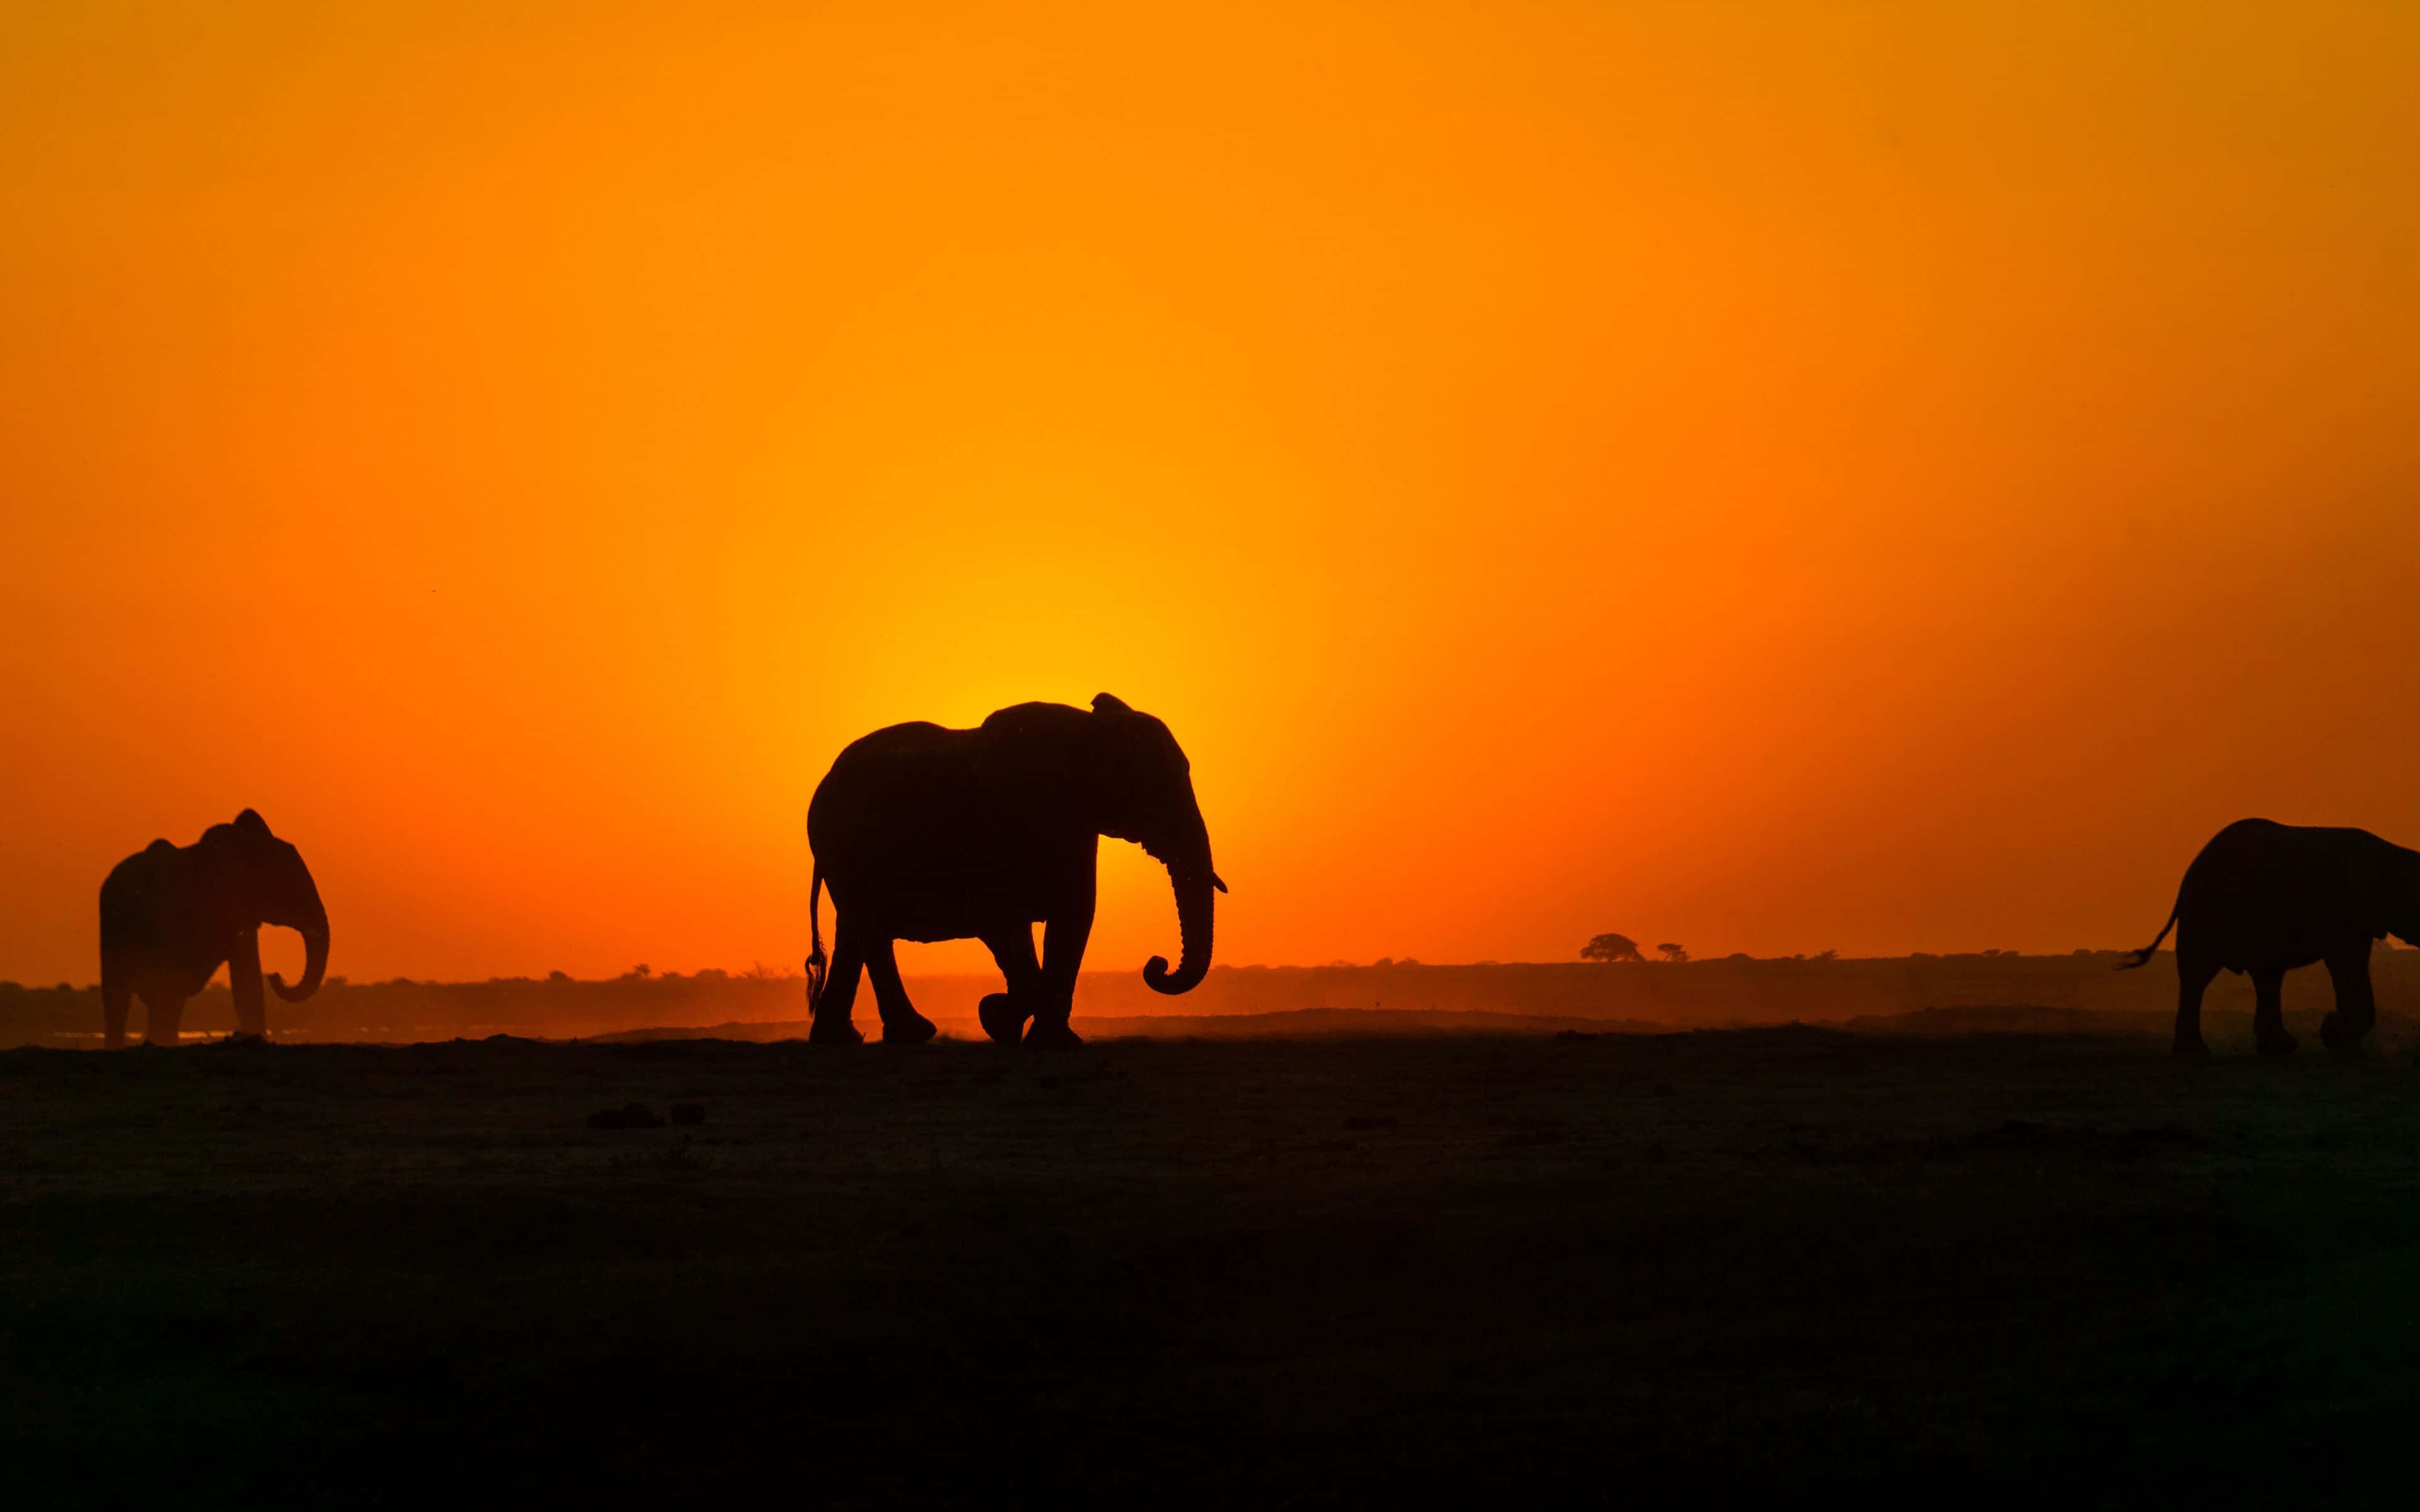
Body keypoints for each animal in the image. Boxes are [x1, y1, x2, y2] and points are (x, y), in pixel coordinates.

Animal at [803, 693, 1224, 1048]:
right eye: (1155, 788)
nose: (1156, 964)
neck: (1087, 730)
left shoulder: (1076, 828)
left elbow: (1073, 918)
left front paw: (1050, 1041)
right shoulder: (1002, 825)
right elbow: (1004, 921)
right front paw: (997, 1017)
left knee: (854, 931)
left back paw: (843, 1039)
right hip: (845, 848)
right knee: (870, 930)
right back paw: (912, 1034)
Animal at [2119, 818, 2420, 1058]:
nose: (2328, 1023)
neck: (2392, 854)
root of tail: (2186, 880)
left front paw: (2338, 1038)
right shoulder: (2348, 911)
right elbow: (2346, 964)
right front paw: (2332, 1035)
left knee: (2265, 976)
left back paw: (2275, 1048)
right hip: (2208, 913)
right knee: (2200, 975)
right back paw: (2196, 1053)